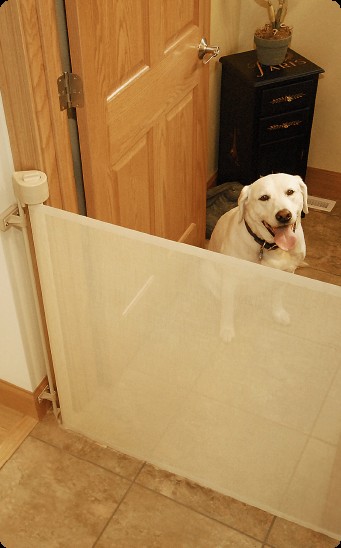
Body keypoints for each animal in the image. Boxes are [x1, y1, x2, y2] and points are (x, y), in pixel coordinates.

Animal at [207, 173, 308, 340]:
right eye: (264, 197)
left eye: (290, 192)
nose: (284, 215)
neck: (271, 246)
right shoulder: (230, 278)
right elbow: (228, 306)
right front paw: (227, 329)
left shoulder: (287, 273)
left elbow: (278, 296)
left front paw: (278, 313)